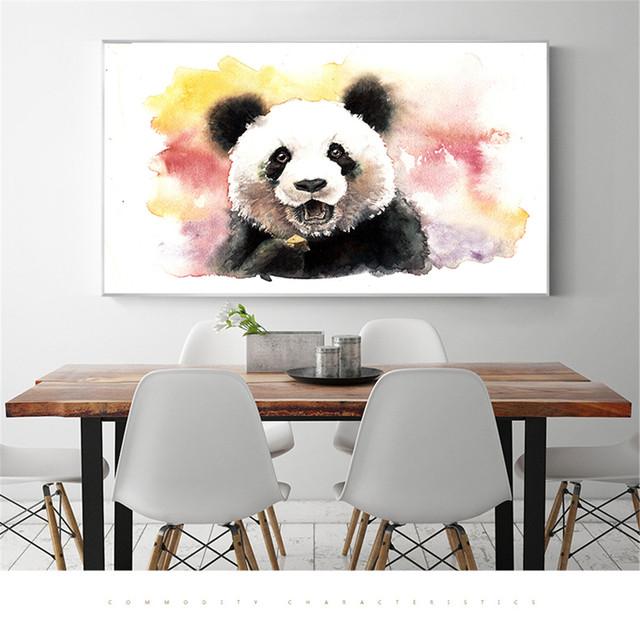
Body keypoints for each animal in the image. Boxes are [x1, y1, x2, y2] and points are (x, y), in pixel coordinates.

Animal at [207, 76, 430, 281]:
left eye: (336, 152)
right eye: (281, 156)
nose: (311, 183)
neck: (318, 237)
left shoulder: (391, 231)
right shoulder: (244, 240)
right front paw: (279, 254)